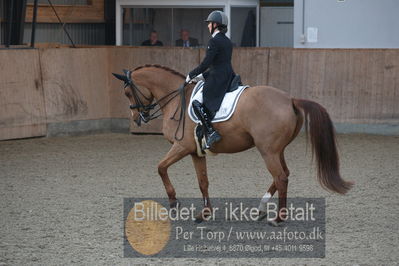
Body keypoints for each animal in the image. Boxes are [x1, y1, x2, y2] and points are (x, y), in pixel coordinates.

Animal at [112, 64, 354, 224]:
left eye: (127, 92)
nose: (137, 118)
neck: (176, 100)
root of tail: (290, 99)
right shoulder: (195, 152)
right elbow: (203, 182)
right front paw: (205, 213)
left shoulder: (181, 147)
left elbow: (161, 167)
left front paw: (174, 202)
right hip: (277, 150)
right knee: (284, 174)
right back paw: (261, 208)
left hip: (268, 151)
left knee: (281, 177)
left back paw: (278, 217)